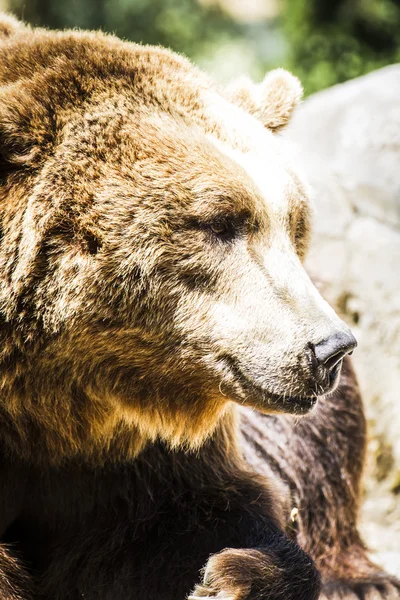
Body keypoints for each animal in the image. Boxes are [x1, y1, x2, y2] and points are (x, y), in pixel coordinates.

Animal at [0, 12, 398, 600]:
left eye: (293, 223)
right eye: (219, 222)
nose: (330, 348)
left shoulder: (136, 444)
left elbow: (199, 511)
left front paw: (233, 575)